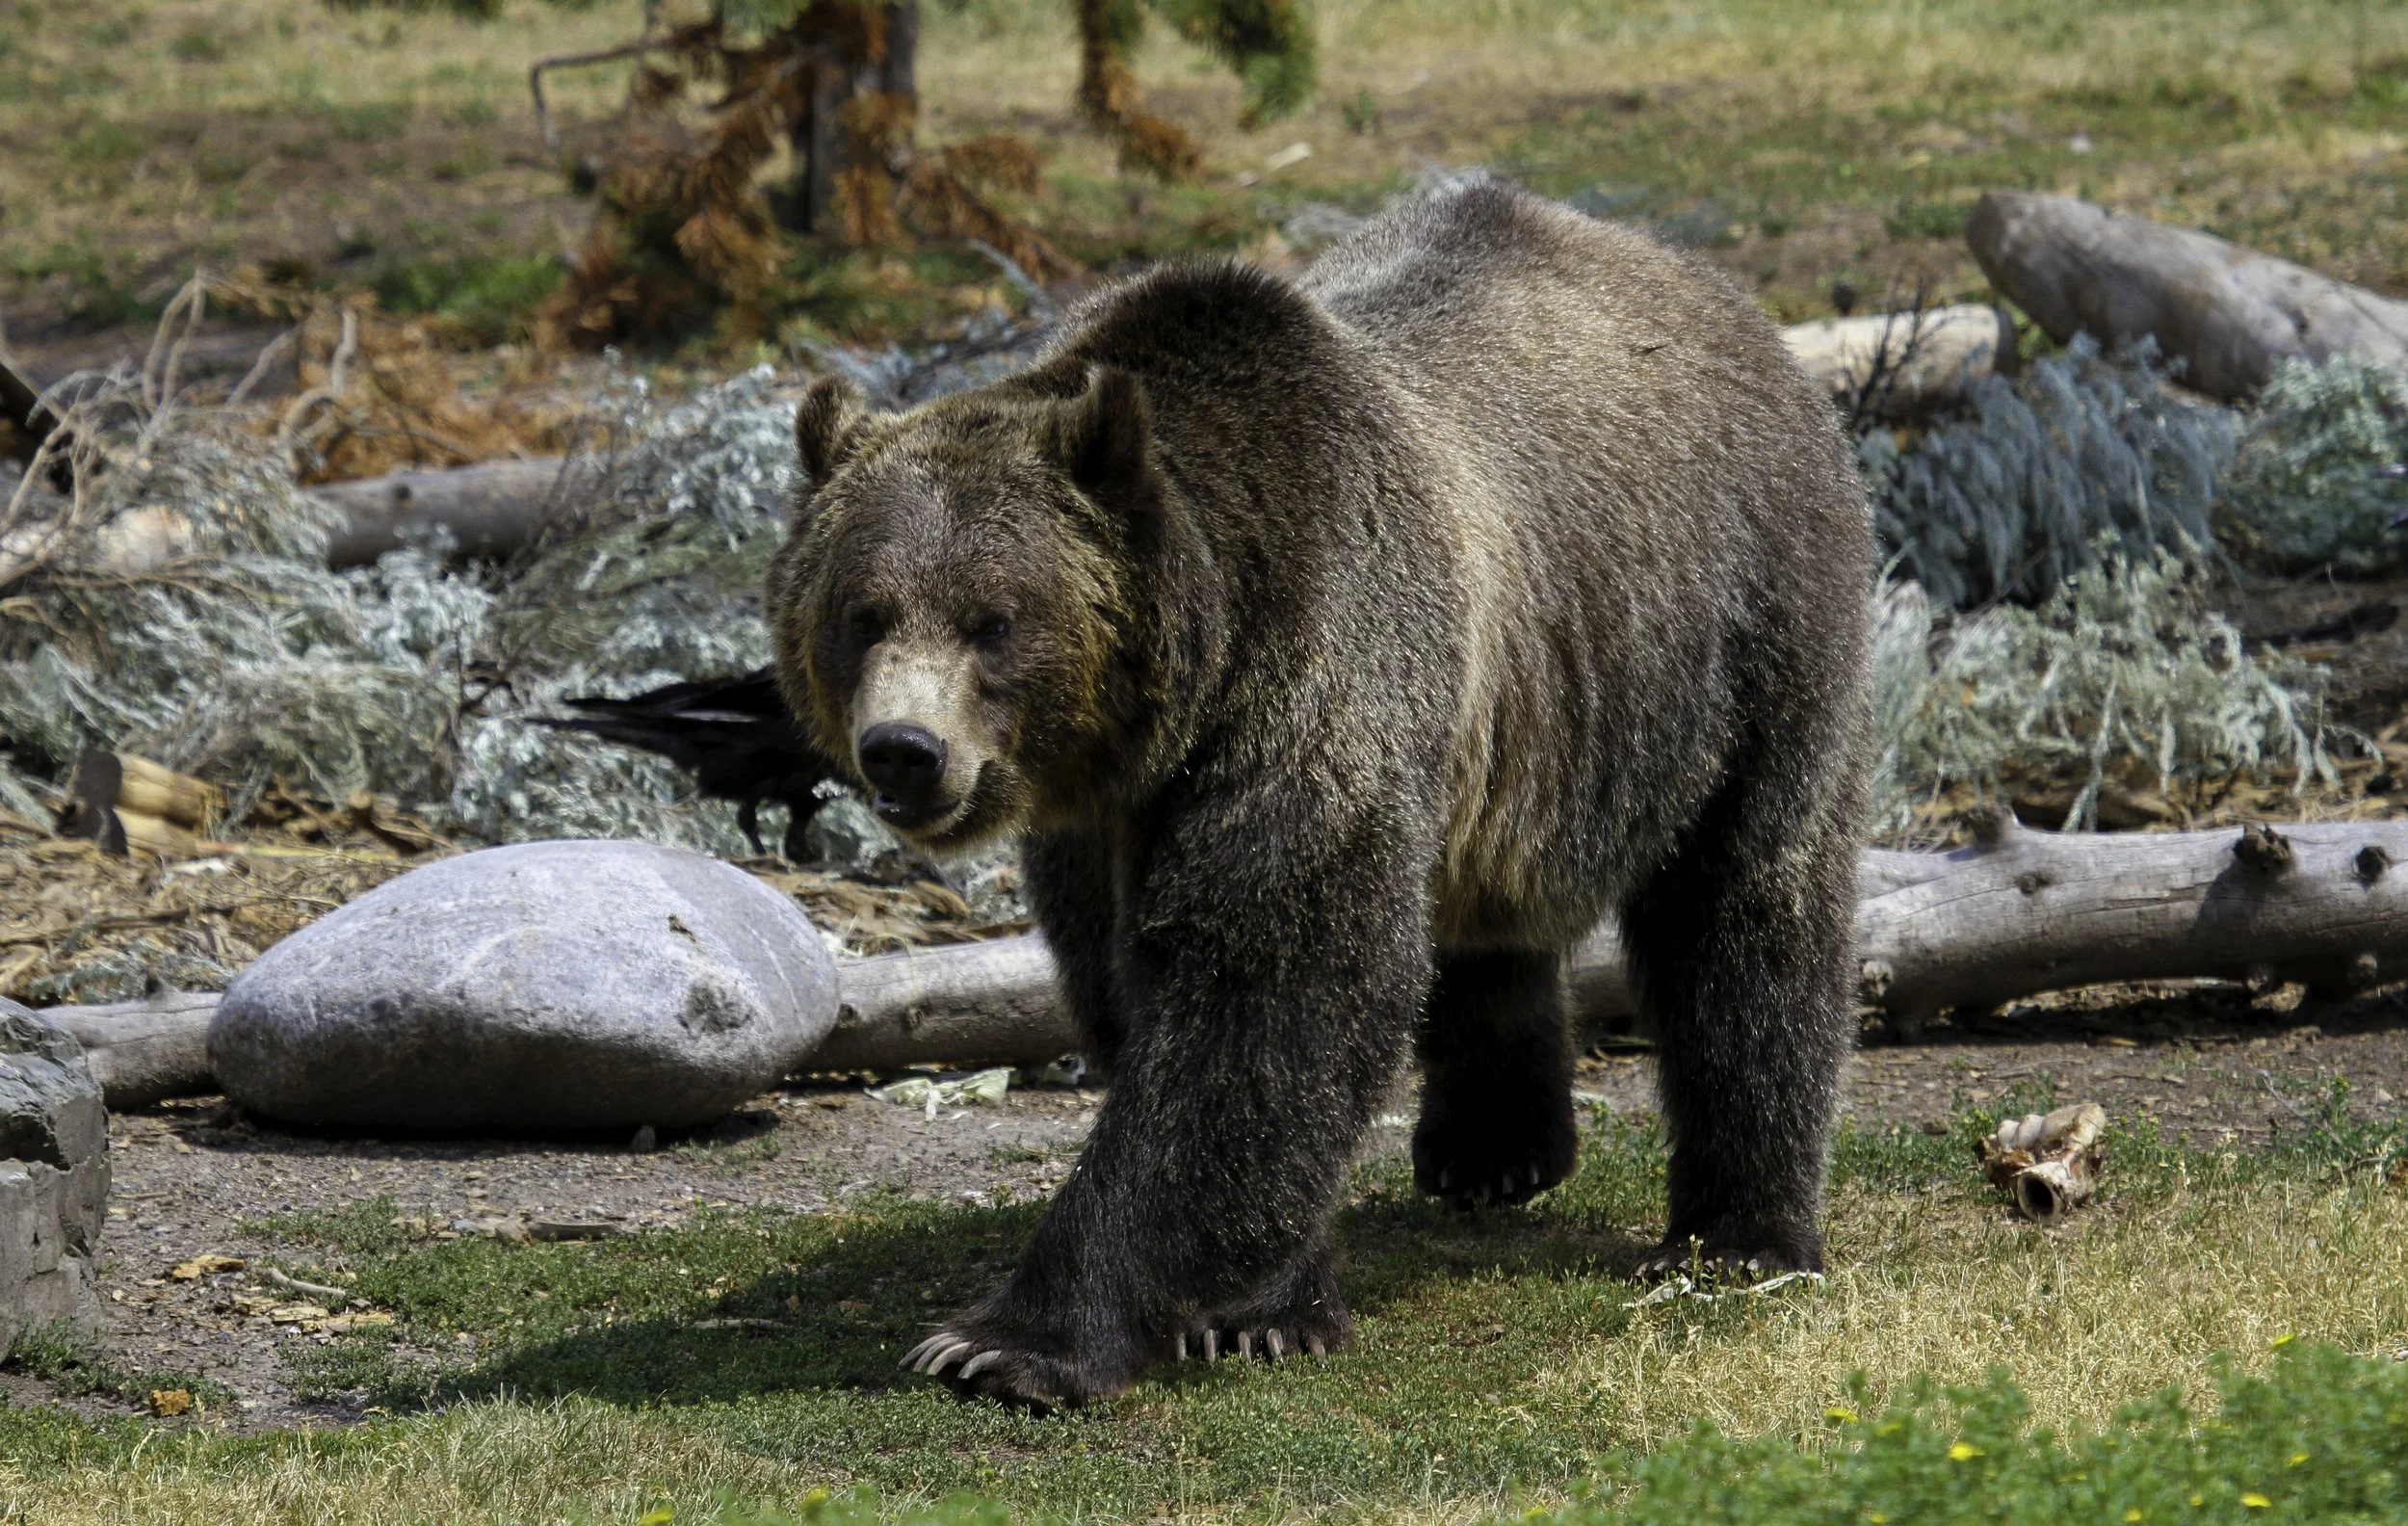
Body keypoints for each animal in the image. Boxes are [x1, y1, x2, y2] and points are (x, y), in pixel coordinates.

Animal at [764, 176, 1871, 1412]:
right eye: (861, 611)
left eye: (992, 618)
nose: (903, 750)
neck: (1183, 682)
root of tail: (1726, 300)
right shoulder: (1102, 814)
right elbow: (1152, 1000)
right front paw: (1266, 1306)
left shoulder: (1321, 656)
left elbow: (1266, 980)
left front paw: (1008, 1341)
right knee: (1483, 917)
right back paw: (1494, 1147)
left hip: (1736, 622)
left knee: (1746, 904)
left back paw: (1739, 1235)